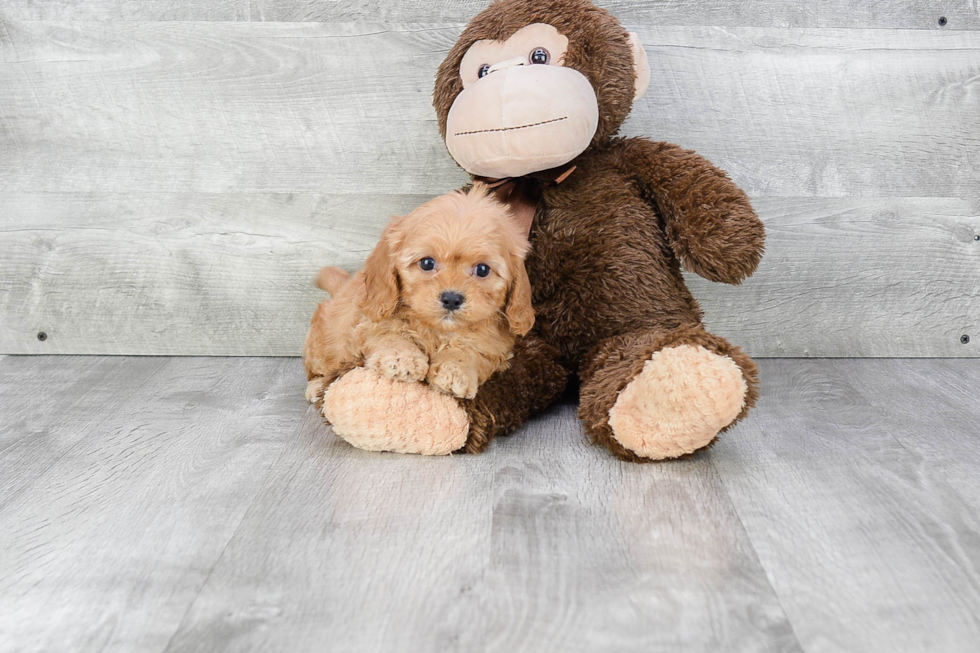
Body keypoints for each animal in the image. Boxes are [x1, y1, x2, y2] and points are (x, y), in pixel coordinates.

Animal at [306, 183, 536, 404]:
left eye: (482, 269)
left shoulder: (493, 346)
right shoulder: (368, 321)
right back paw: (316, 387)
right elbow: (389, 333)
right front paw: (401, 358)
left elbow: (469, 350)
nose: (451, 299)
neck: (437, 329)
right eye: (427, 263)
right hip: (323, 344)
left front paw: (456, 371)